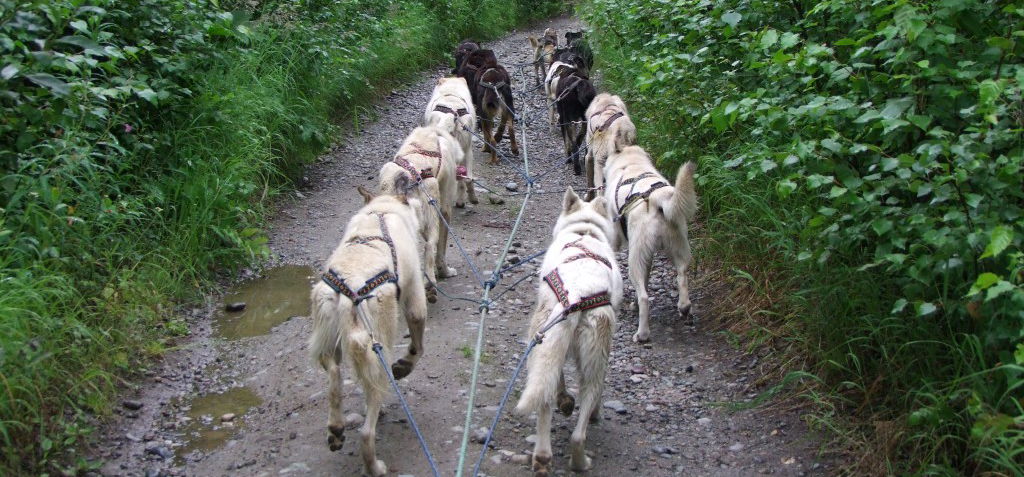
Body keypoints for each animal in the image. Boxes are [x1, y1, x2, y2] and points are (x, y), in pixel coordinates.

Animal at [307, 186, 428, 476]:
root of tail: (351, 289)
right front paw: (405, 365)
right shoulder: (415, 299)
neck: (381, 211)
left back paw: (336, 428)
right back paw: (374, 465)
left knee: (335, 375)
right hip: (379, 348)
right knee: (366, 431)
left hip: (332, 339)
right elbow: (417, 346)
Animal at [376, 124, 460, 300]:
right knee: (429, 247)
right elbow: (440, 251)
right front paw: (444, 272)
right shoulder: (444, 211)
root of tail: (403, 179)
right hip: (433, 212)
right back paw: (430, 285)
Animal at [520, 188, 622, 474]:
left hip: (543, 343)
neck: (584, 231)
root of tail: (577, 294)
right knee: (578, 423)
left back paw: (546, 456)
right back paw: (578, 459)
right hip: (593, 360)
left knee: (548, 401)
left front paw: (565, 400)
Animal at [602, 145, 700, 341]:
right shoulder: (648, 257)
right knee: (682, 276)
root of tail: (657, 199)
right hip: (678, 247)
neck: (631, 164)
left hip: (635, 260)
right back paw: (684, 307)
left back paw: (642, 334)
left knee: (644, 297)